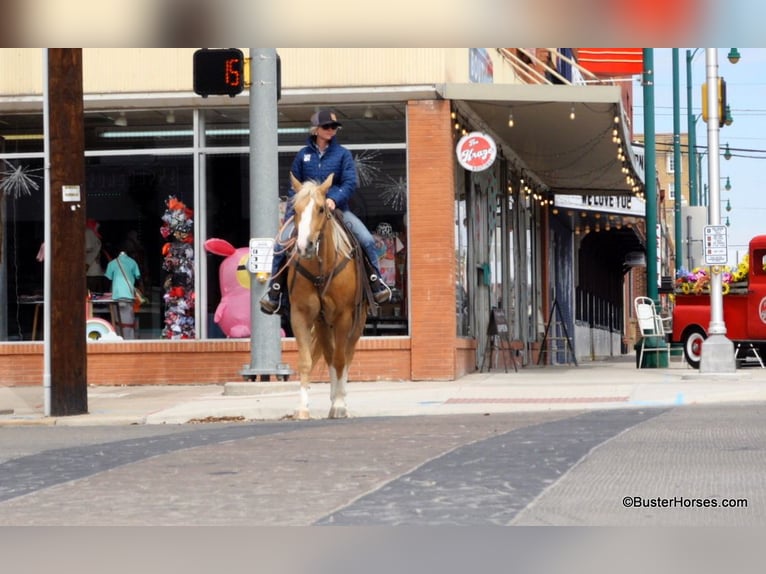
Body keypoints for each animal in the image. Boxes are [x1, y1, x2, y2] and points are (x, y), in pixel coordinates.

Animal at [290, 173, 370, 420]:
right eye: (295, 209)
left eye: (321, 209)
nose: (304, 246)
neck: (321, 270)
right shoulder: (301, 314)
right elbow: (306, 361)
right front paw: (303, 408)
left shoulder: (345, 316)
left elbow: (341, 359)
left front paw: (340, 405)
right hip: (324, 322)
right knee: (329, 355)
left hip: (356, 321)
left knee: (346, 355)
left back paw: (339, 399)